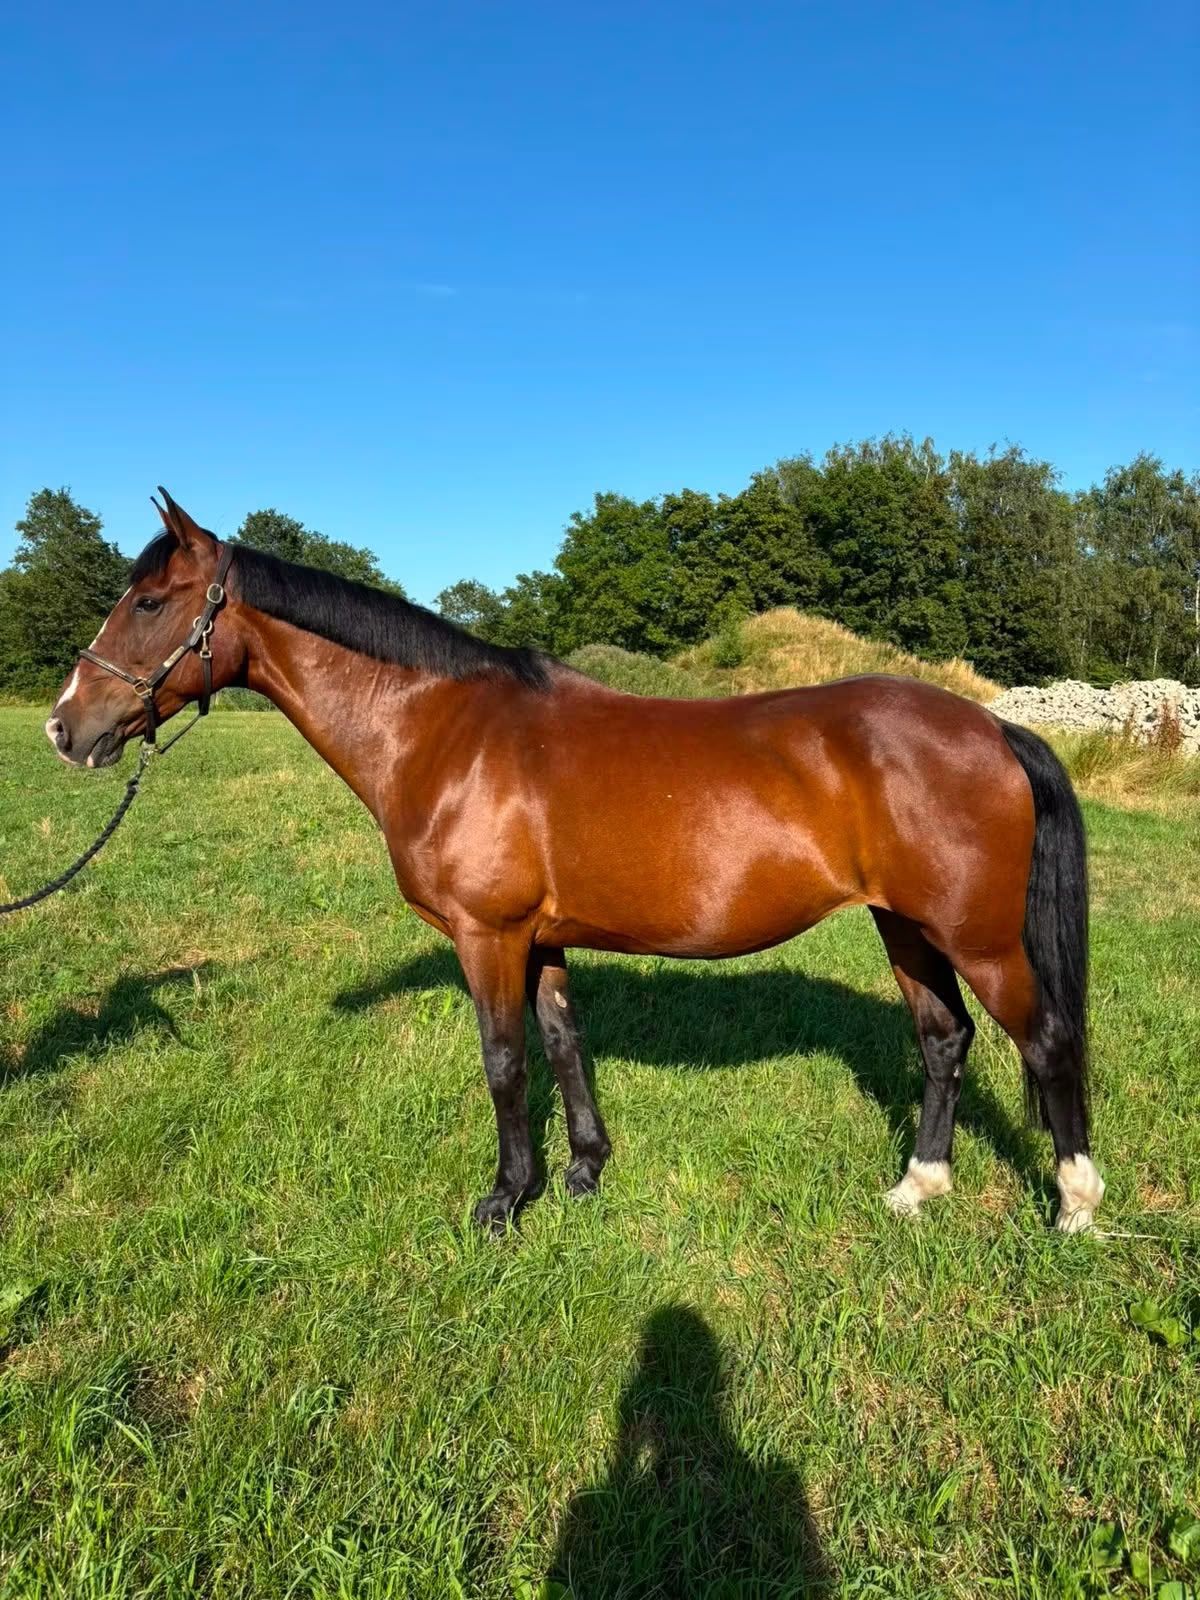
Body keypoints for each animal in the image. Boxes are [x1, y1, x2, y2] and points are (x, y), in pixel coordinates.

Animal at [45, 490, 1103, 1233]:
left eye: (149, 602)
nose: (64, 729)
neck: (446, 732)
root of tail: (993, 729)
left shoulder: (487, 936)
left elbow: (505, 1061)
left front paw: (506, 1200)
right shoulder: (540, 938)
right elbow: (564, 1044)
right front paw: (585, 1171)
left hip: (976, 938)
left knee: (1045, 1040)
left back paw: (1076, 1205)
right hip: (906, 927)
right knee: (943, 1040)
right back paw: (919, 1187)